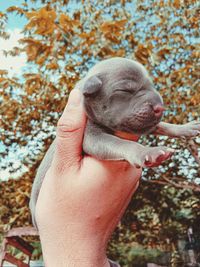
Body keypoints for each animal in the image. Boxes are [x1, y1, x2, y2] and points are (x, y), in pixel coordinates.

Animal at [29, 57, 200, 228]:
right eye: (125, 90)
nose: (160, 108)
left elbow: (162, 126)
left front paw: (186, 128)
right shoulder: (92, 137)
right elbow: (120, 143)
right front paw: (147, 151)